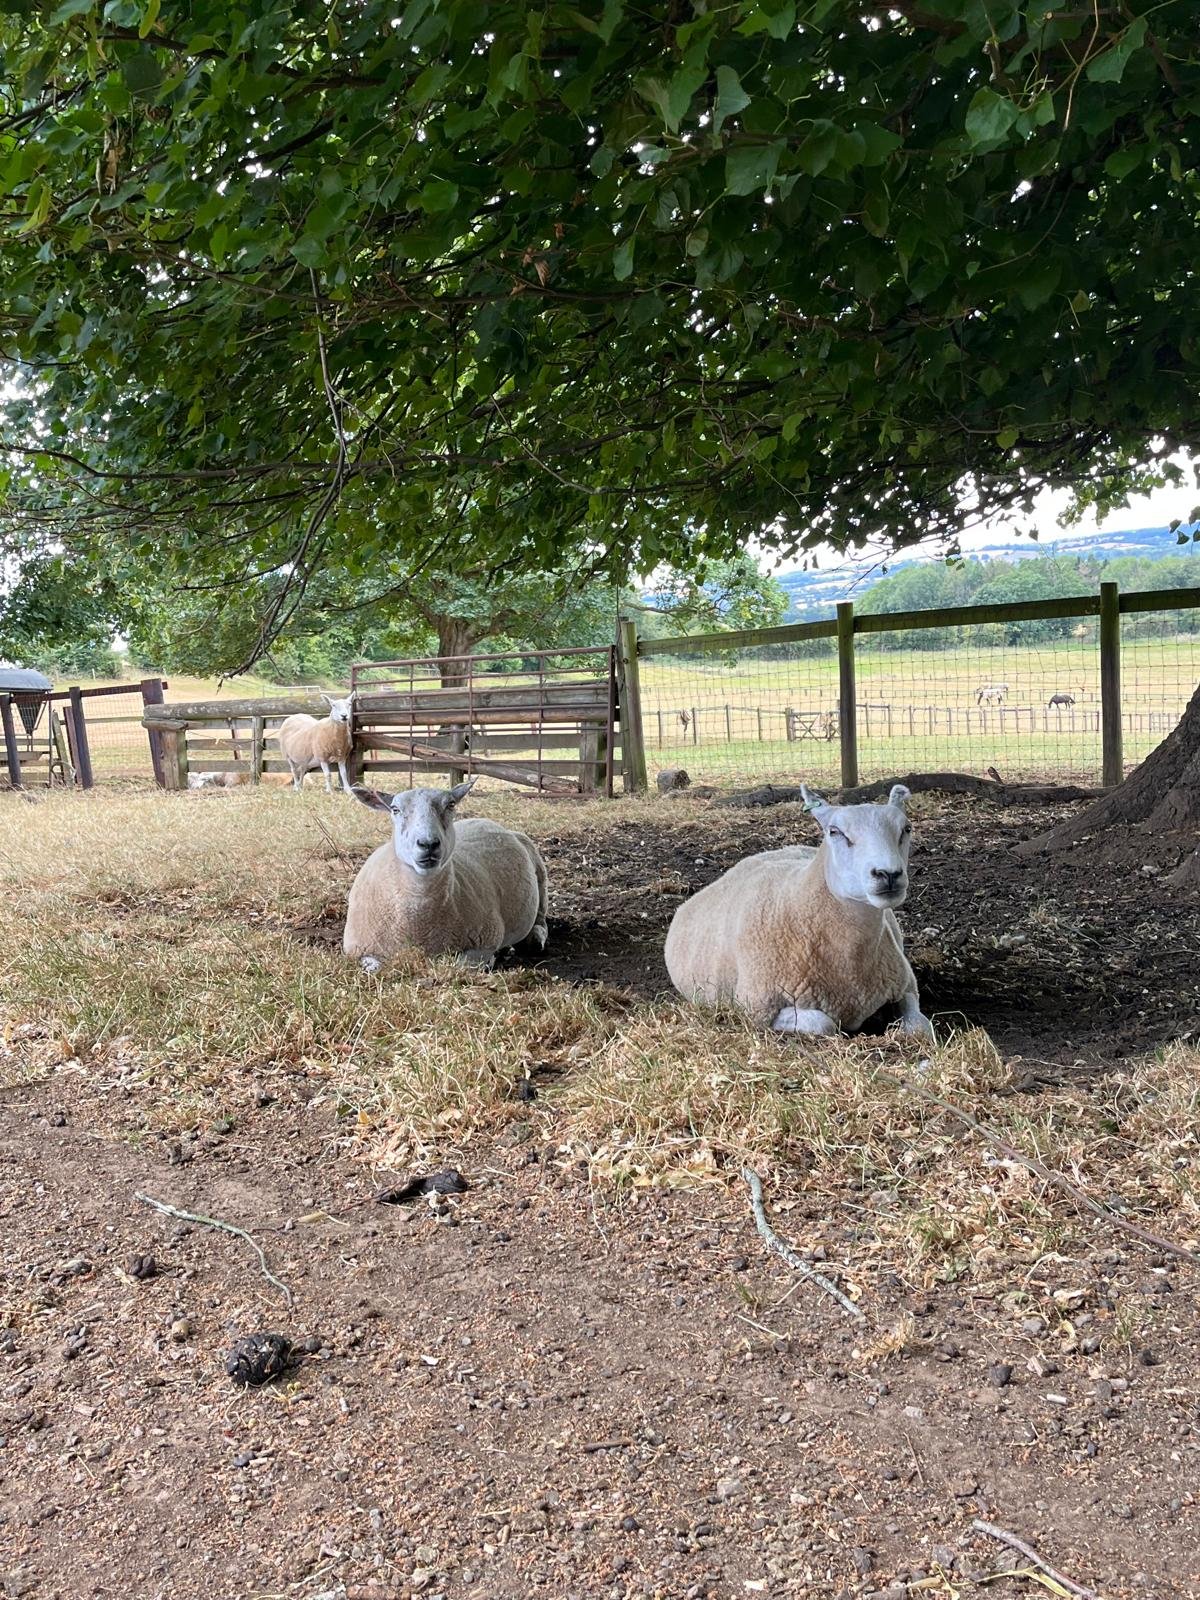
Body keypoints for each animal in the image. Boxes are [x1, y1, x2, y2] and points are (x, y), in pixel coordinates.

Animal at [343, 777, 549, 974]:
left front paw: (492, 959)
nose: (428, 844)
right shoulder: (358, 950)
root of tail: (485, 820)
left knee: (541, 917)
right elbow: (375, 967)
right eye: (395, 809)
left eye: (450, 804)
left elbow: (461, 965)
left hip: (539, 873)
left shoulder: (487, 941)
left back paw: (535, 939)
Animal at [664, 783, 932, 1040]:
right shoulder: (757, 1008)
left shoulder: (906, 985)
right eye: (835, 832)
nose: (889, 874)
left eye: (906, 829)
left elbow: (921, 1029)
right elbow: (824, 1024)